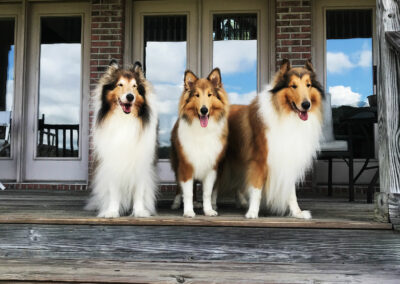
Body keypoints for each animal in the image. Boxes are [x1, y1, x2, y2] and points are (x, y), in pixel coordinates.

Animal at [85, 61, 158, 219]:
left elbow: (139, 191)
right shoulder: (112, 162)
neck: (125, 119)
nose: (130, 97)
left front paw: (139, 212)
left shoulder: (141, 163)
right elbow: (113, 191)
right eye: (120, 84)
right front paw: (112, 212)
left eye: (135, 86)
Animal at [170, 68, 230, 217]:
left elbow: (207, 193)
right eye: (196, 95)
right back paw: (176, 203)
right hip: (177, 163)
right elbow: (187, 192)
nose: (204, 110)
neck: (202, 131)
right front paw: (188, 211)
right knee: (179, 187)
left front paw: (208, 210)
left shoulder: (211, 167)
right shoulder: (186, 165)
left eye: (209, 94)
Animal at [216, 59, 324, 220]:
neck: (286, 114)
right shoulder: (259, 160)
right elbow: (256, 188)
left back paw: (241, 202)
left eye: (308, 85)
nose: (306, 105)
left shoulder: (288, 161)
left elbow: (291, 192)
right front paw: (253, 212)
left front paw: (297, 213)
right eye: (293, 86)